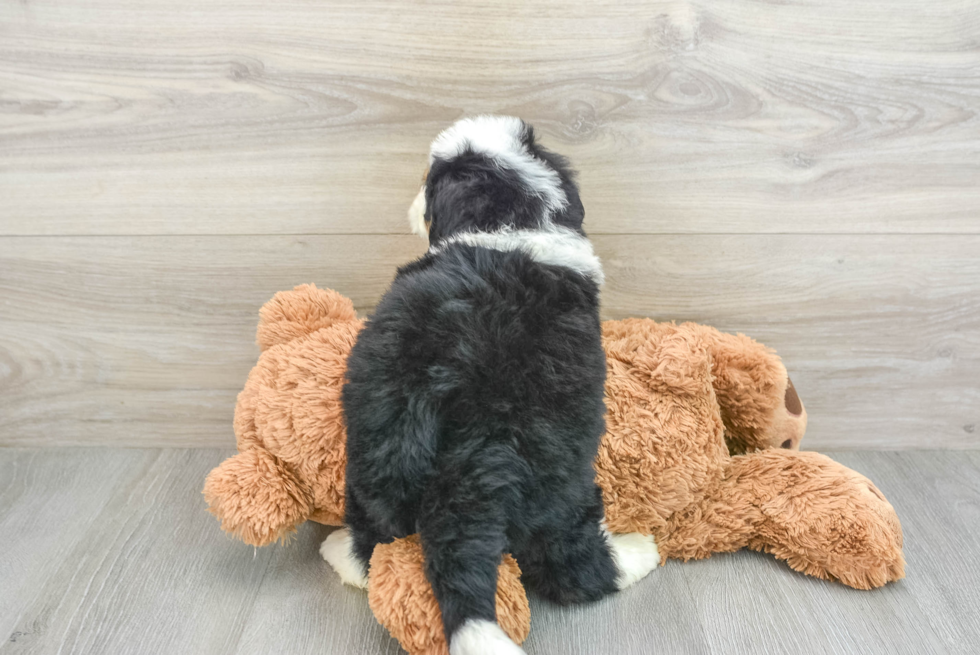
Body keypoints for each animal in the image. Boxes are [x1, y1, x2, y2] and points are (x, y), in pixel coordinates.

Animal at [324, 115, 660, 652]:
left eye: (428, 180)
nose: (413, 201)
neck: (513, 221)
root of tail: (477, 453)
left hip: (376, 447)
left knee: (375, 533)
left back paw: (342, 553)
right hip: (563, 478)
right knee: (571, 562)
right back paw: (636, 554)